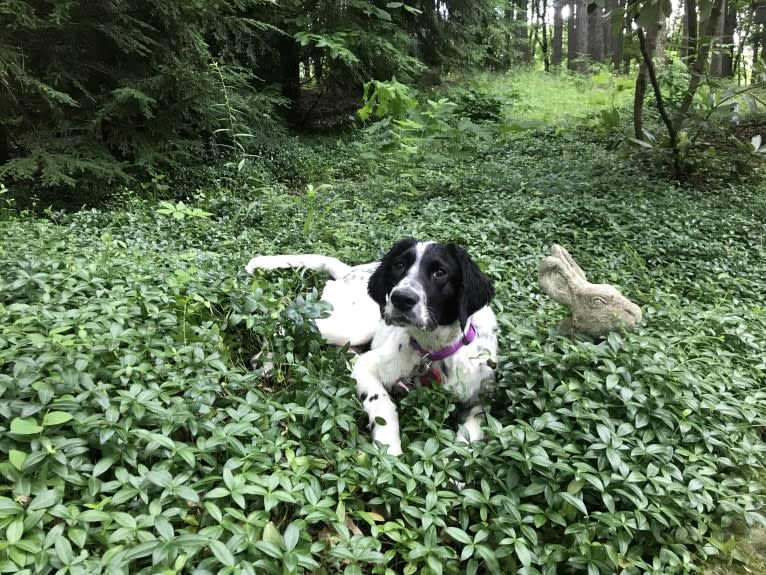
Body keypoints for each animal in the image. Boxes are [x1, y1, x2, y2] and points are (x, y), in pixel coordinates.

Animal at [246, 238, 498, 454]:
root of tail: (350, 270)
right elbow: (383, 403)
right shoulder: (371, 366)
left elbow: (472, 433)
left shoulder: (481, 397)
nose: (401, 299)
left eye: (440, 272)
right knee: (283, 324)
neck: (433, 351)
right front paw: (389, 450)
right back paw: (267, 361)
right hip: (352, 326)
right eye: (399, 265)